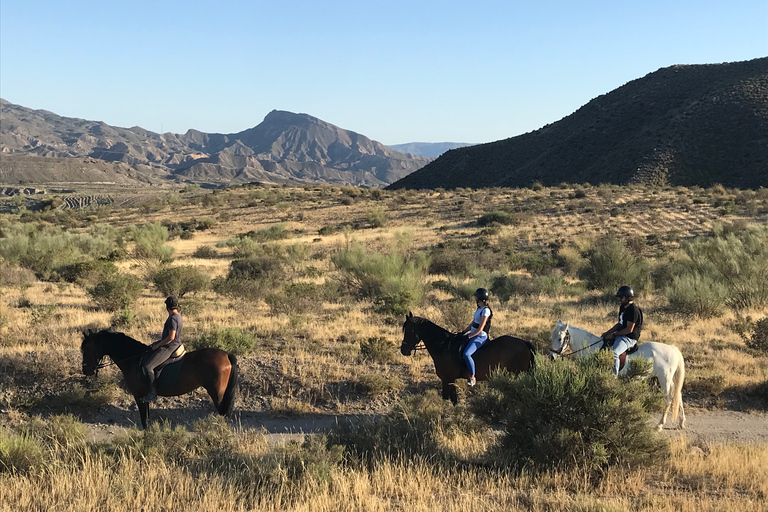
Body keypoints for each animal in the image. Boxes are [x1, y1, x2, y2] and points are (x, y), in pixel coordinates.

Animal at [80, 330, 238, 430]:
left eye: (88, 348)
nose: (86, 370)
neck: (133, 359)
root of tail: (226, 355)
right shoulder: (144, 397)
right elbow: (147, 419)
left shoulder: (139, 396)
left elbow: (144, 420)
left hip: (218, 394)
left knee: (224, 414)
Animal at [400, 312, 536, 404]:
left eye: (410, 330)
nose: (403, 350)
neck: (443, 346)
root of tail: (524, 343)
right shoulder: (447, 380)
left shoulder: (448, 379)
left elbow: (451, 400)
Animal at [548, 322, 688, 430]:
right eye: (551, 337)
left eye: (560, 339)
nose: (551, 356)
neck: (591, 348)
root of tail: (672, 348)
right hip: (669, 380)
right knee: (678, 395)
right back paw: (681, 422)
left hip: (664, 379)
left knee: (668, 399)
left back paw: (660, 425)